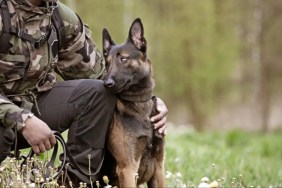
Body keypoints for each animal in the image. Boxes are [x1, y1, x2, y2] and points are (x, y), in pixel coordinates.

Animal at [101, 18, 165, 188]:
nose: (106, 84)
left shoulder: (159, 168)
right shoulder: (128, 169)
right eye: (107, 64)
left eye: (123, 59)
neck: (138, 102)